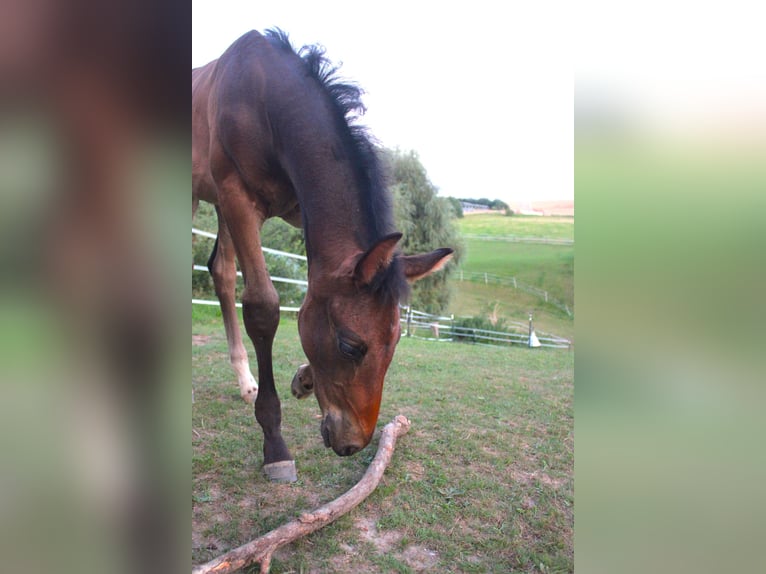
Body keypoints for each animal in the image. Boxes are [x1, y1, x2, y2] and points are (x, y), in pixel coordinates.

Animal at [194, 29, 456, 484]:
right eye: (351, 346)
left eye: (395, 342)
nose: (354, 444)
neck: (264, 94)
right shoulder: (237, 197)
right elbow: (263, 306)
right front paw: (275, 446)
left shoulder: (299, 210)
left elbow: (311, 292)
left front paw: (303, 378)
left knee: (222, 272)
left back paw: (245, 380)